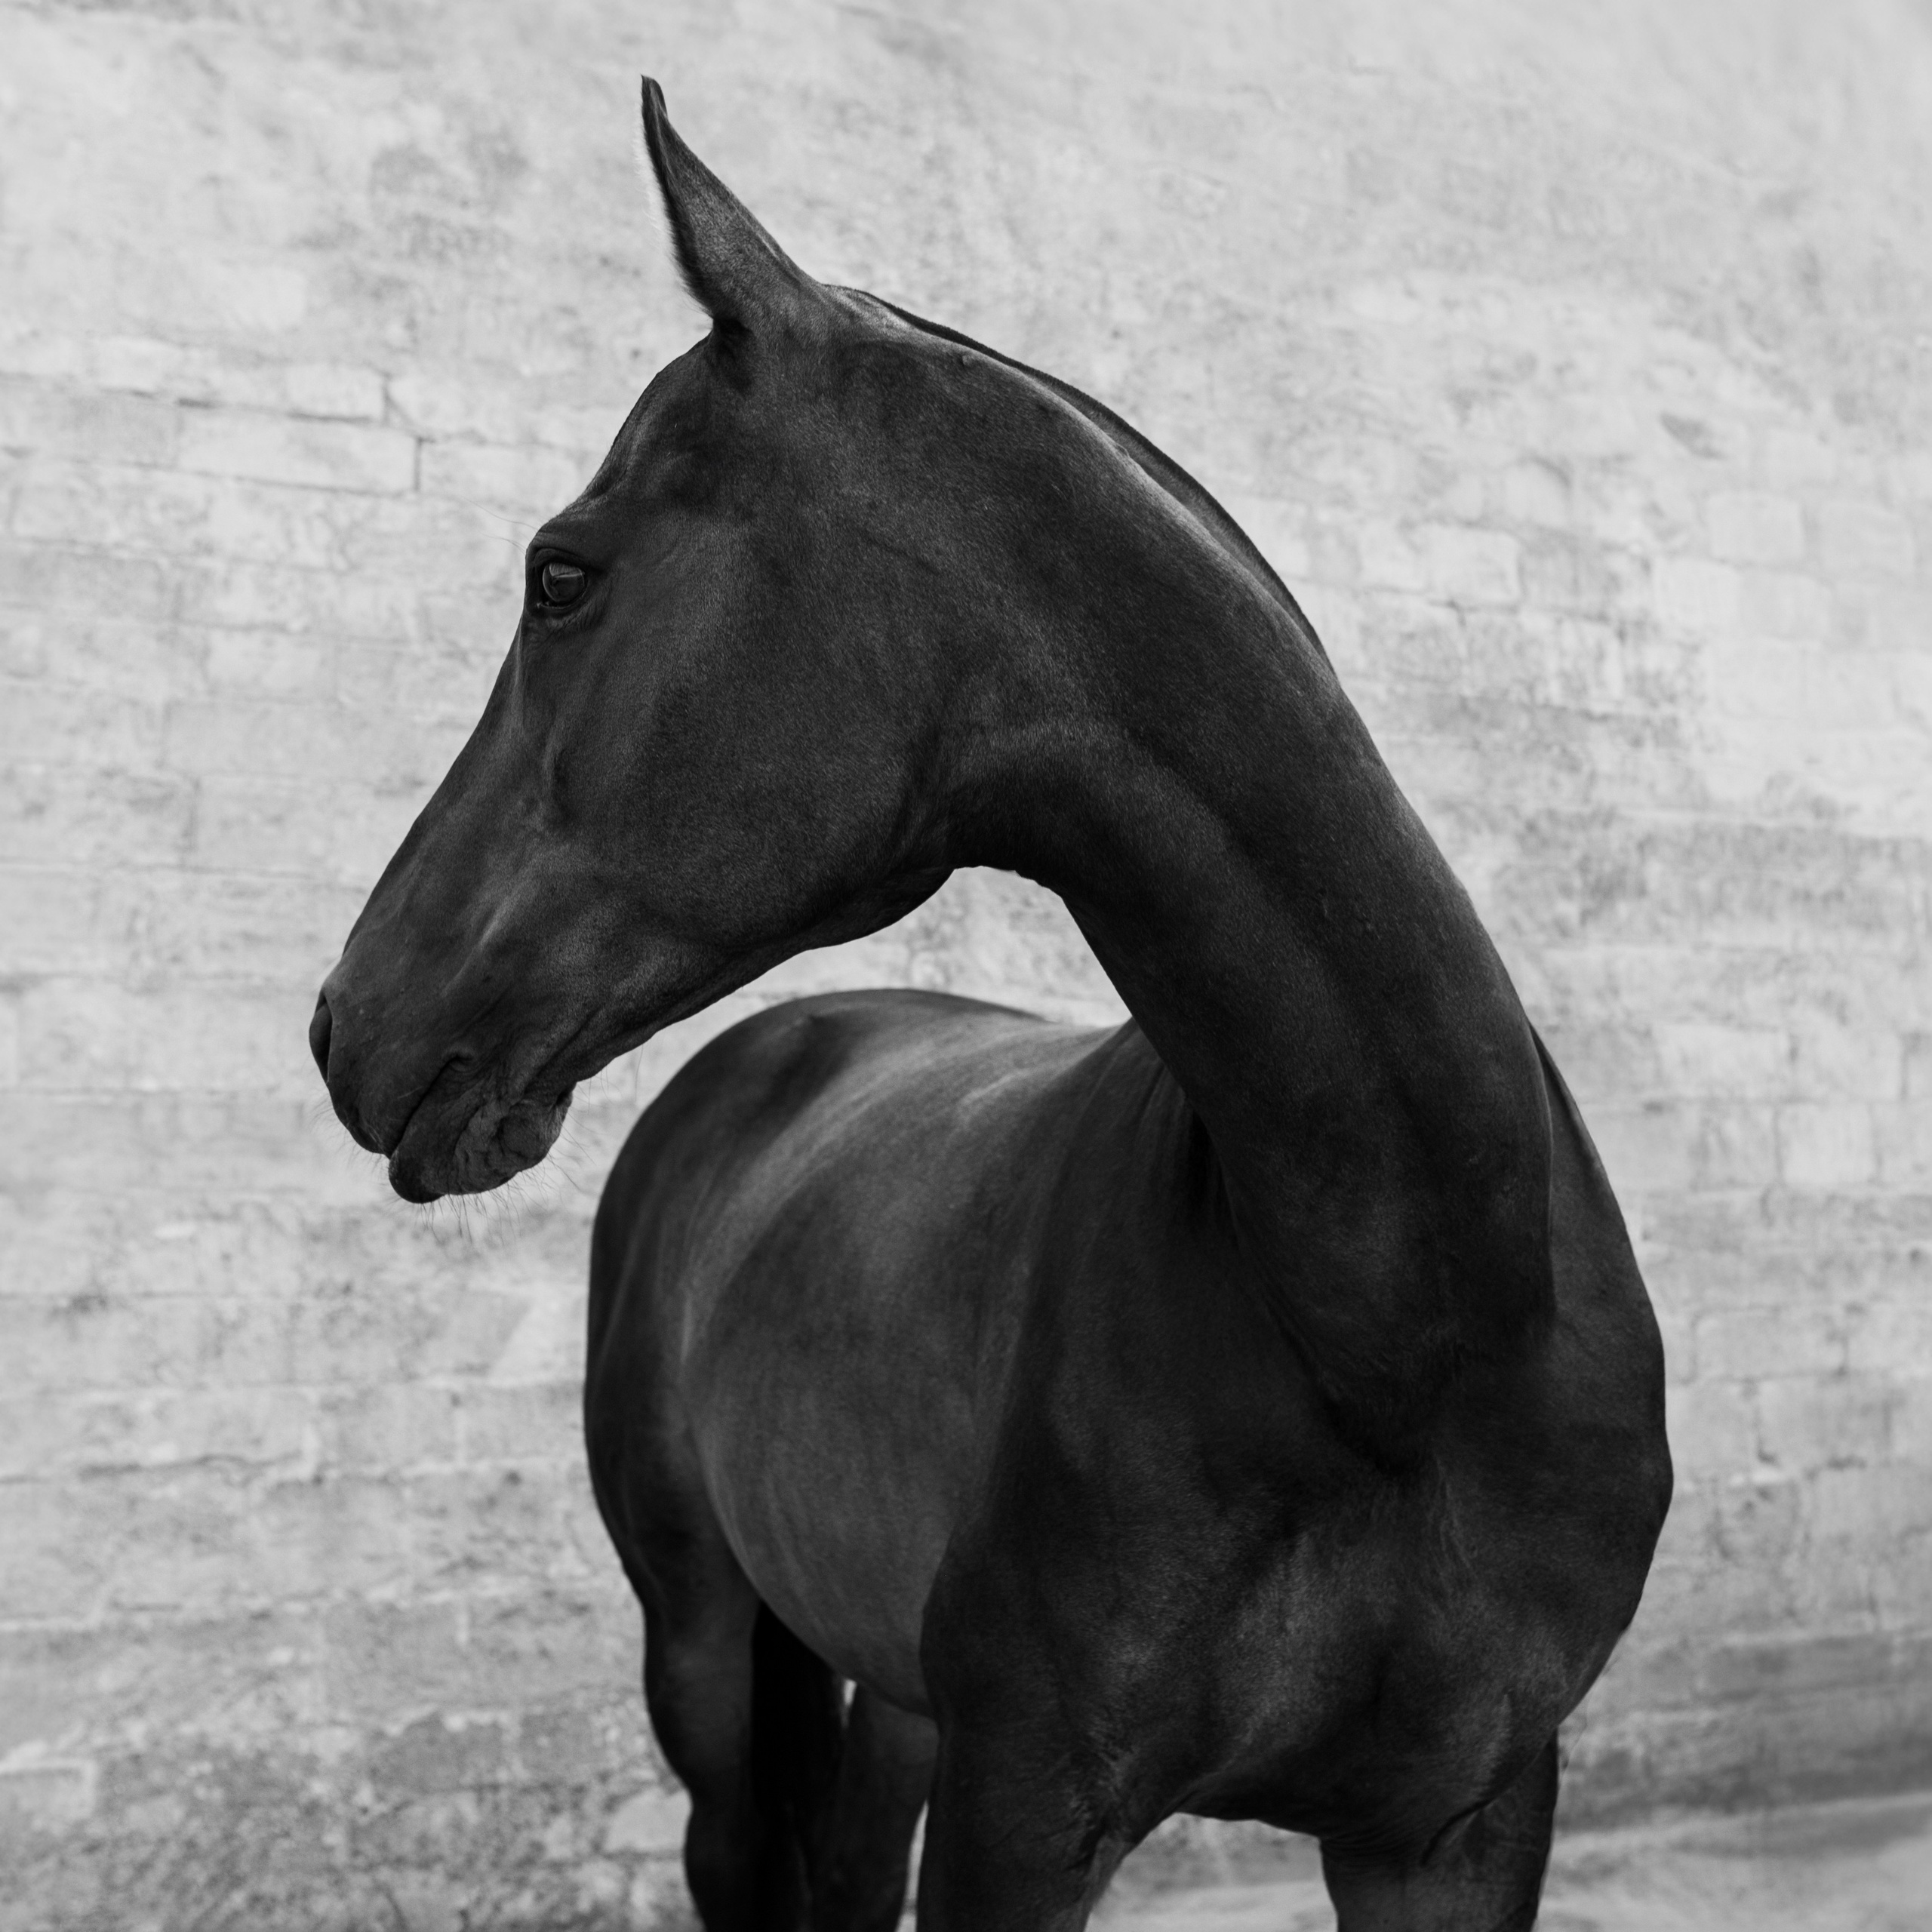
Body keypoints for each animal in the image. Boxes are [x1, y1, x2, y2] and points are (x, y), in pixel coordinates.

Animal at [310, 81, 1671, 1931]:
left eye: (561, 575)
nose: (346, 1021)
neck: (1408, 1328)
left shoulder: (1460, 1819)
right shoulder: (1023, 1809)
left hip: (891, 1697)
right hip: (705, 1655)